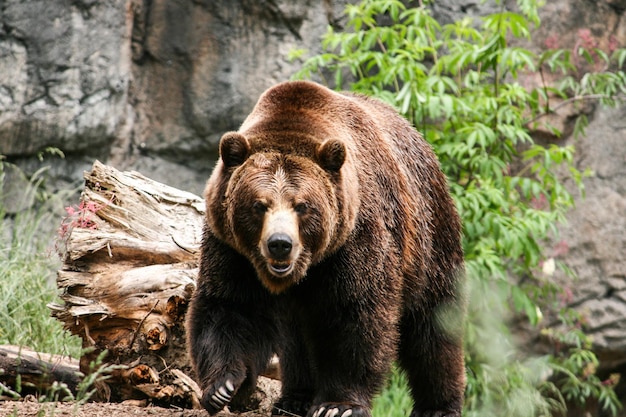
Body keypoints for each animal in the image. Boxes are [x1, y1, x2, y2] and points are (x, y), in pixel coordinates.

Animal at [185, 80, 464, 416]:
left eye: (302, 206)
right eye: (259, 205)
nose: (280, 244)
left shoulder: (355, 238)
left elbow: (354, 315)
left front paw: (338, 404)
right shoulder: (231, 247)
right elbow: (229, 305)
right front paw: (223, 386)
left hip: (428, 234)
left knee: (434, 322)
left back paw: (438, 406)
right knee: (296, 339)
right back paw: (294, 397)